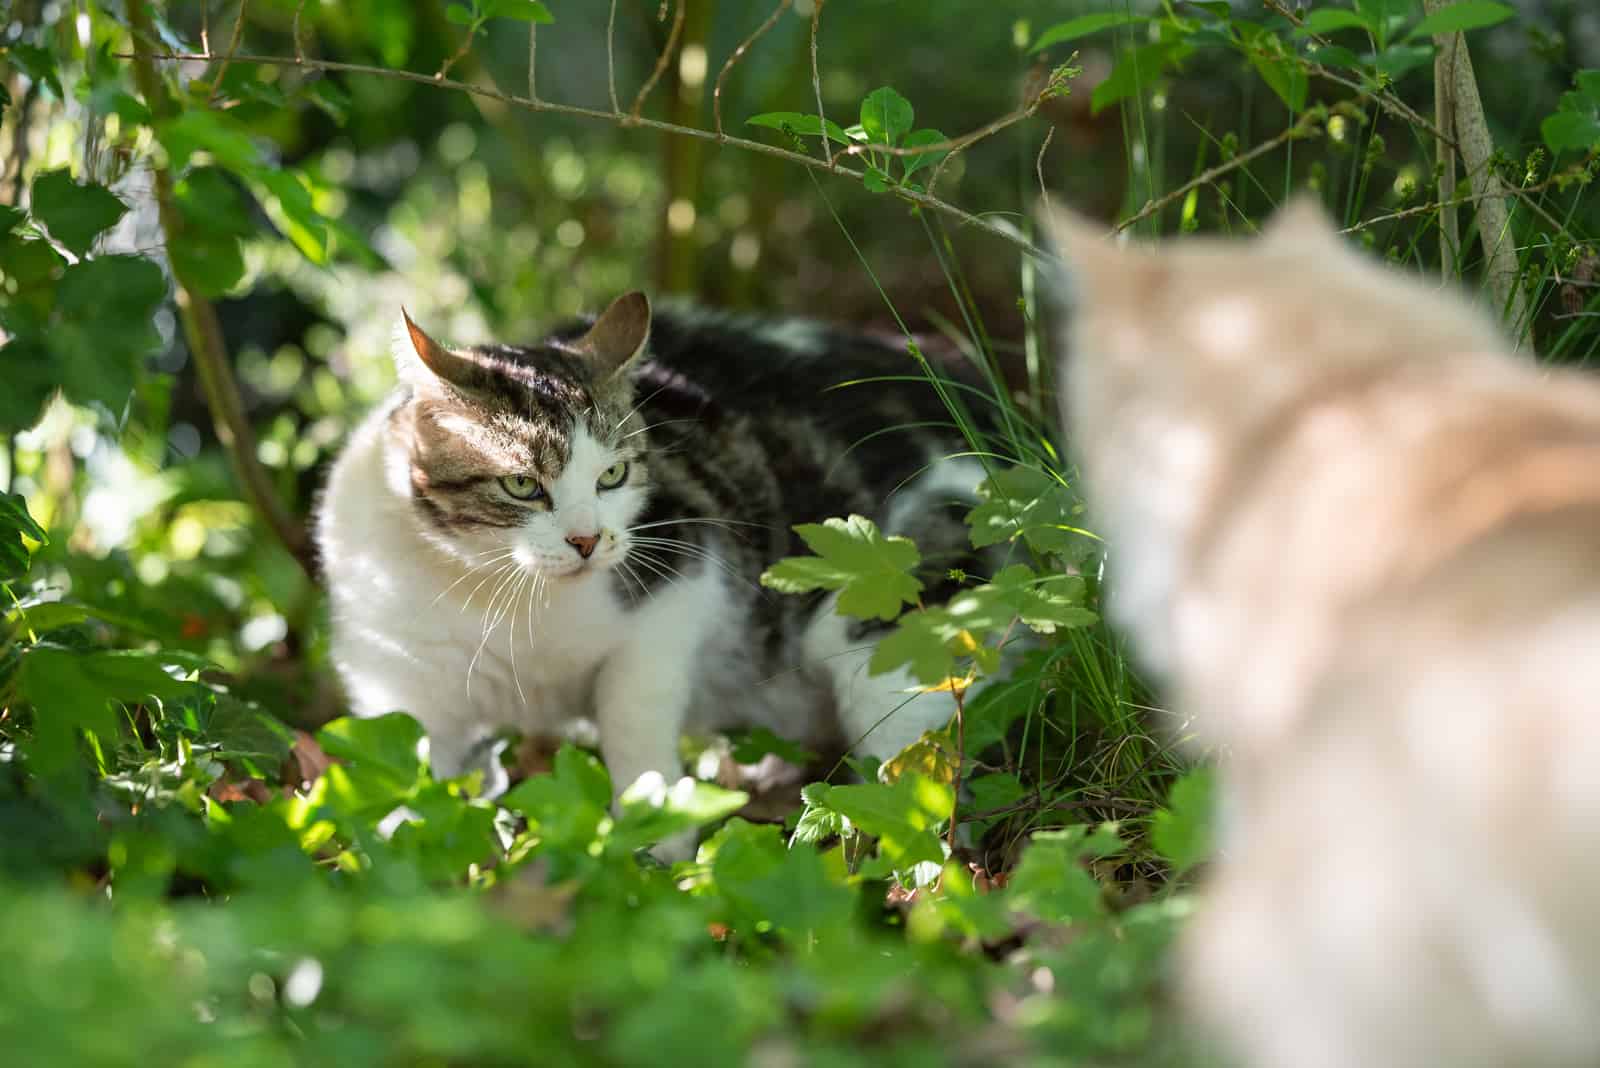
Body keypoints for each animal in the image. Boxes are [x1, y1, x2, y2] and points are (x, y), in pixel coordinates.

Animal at [315, 294, 972, 856]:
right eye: (522, 484)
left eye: (613, 476)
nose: (586, 541)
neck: (500, 595)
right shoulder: (394, 674)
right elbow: (404, 772)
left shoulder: (680, 581)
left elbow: (633, 719)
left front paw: (658, 842)